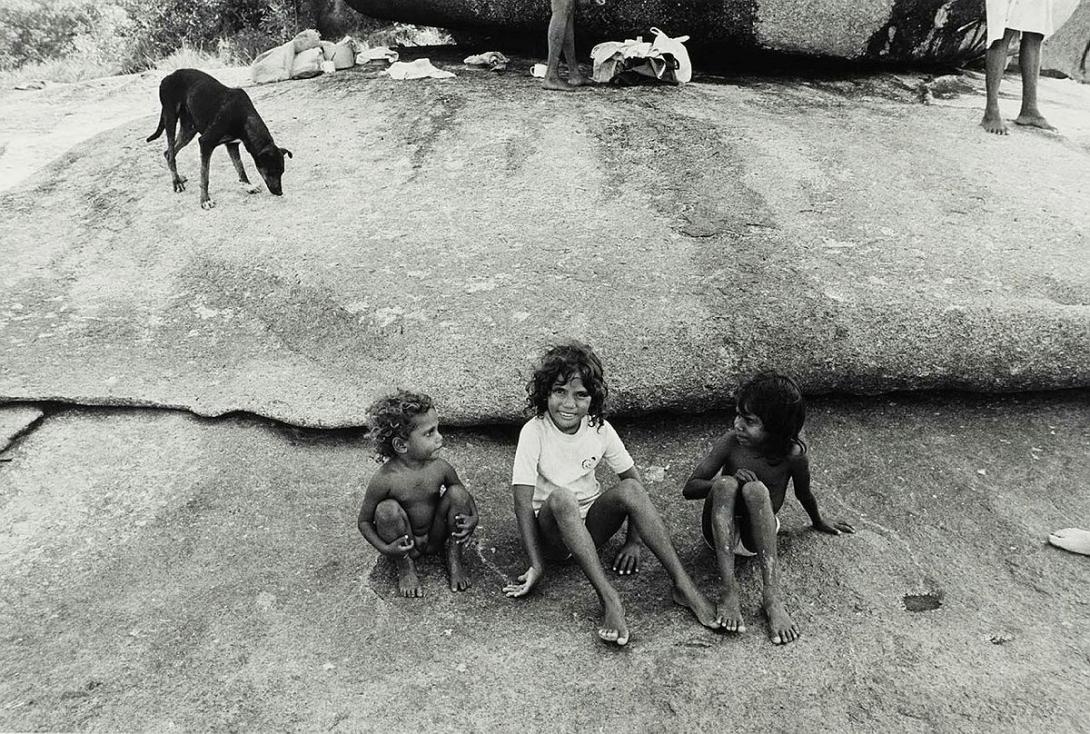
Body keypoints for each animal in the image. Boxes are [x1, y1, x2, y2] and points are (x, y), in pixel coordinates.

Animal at [150, 68, 294, 207]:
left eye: (282, 172)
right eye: (271, 172)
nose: (280, 192)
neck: (243, 117)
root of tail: (169, 76)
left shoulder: (232, 144)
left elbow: (240, 167)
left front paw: (248, 186)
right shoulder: (205, 143)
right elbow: (205, 176)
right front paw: (205, 200)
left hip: (189, 129)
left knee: (168, 152)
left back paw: (179, 178)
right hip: (170, 118)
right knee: (171, 152)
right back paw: (176, 182)